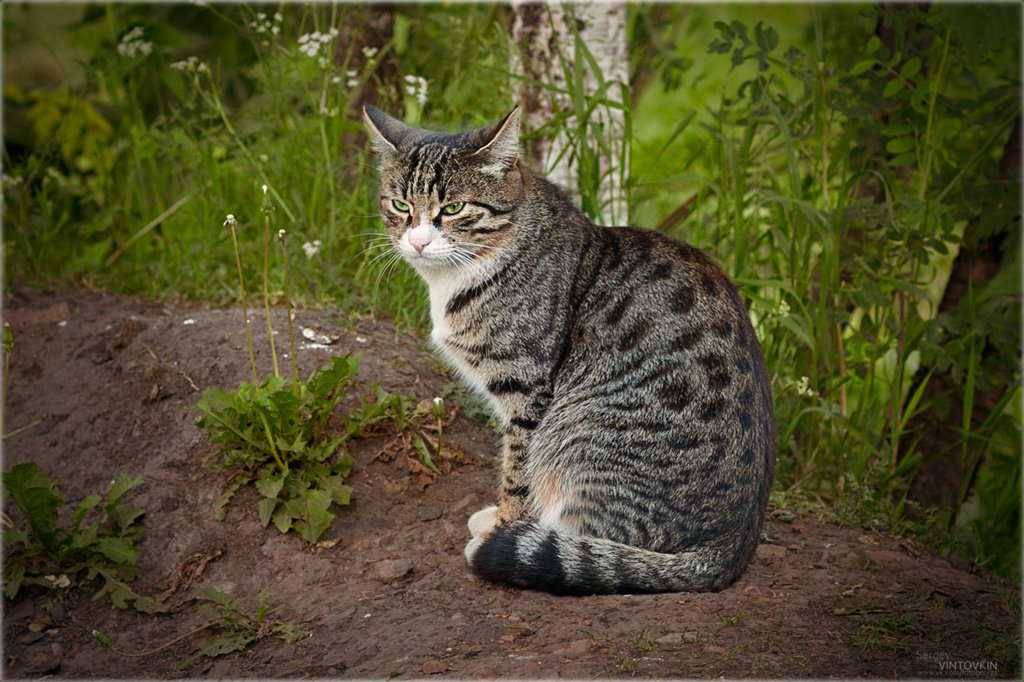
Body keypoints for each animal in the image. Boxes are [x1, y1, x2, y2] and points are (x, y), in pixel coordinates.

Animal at [364, 103, 770, 593]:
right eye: (401, 205)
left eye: (454, 208)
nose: (419, 241)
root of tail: (733, 544)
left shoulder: (527, 389)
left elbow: (517, 475)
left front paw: (506, 525)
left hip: (578, 432)